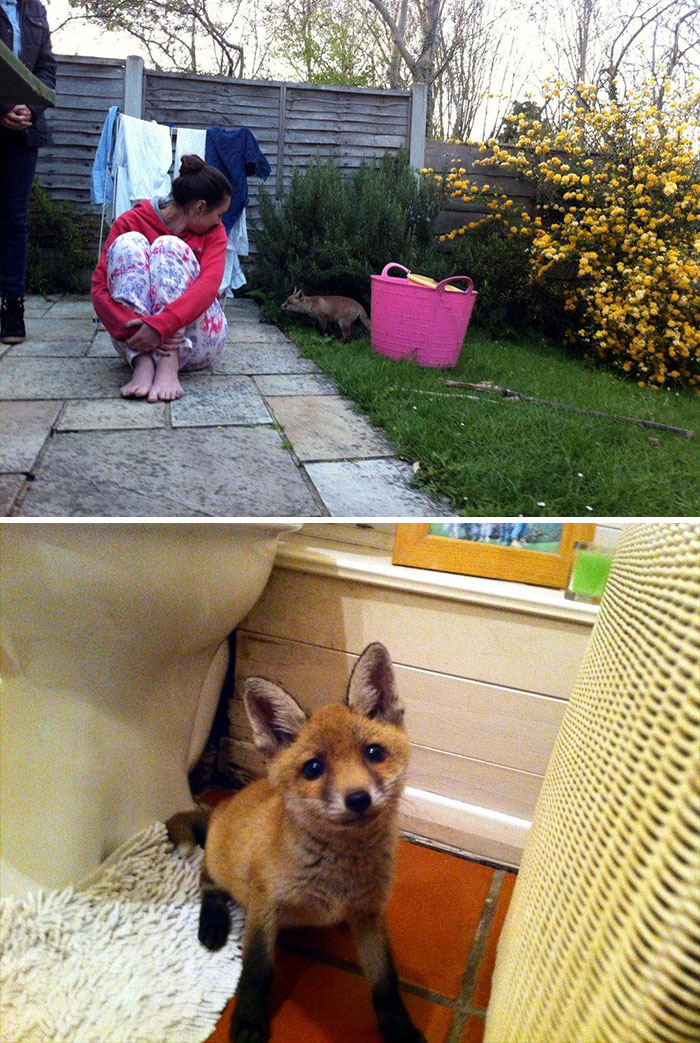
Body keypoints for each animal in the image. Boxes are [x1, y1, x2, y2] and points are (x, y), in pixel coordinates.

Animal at [167, 642, 426, 1043]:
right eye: (314, 768)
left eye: (374, 753)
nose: (358, 799)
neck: (337, 880)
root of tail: (222, 807)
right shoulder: (264, 907)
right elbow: (257, 971)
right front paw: (249, 1020)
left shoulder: (370, 914)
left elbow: (386, 982)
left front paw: (399, 1027)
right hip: (221, 866)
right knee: (207, 882)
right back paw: (213, 923)